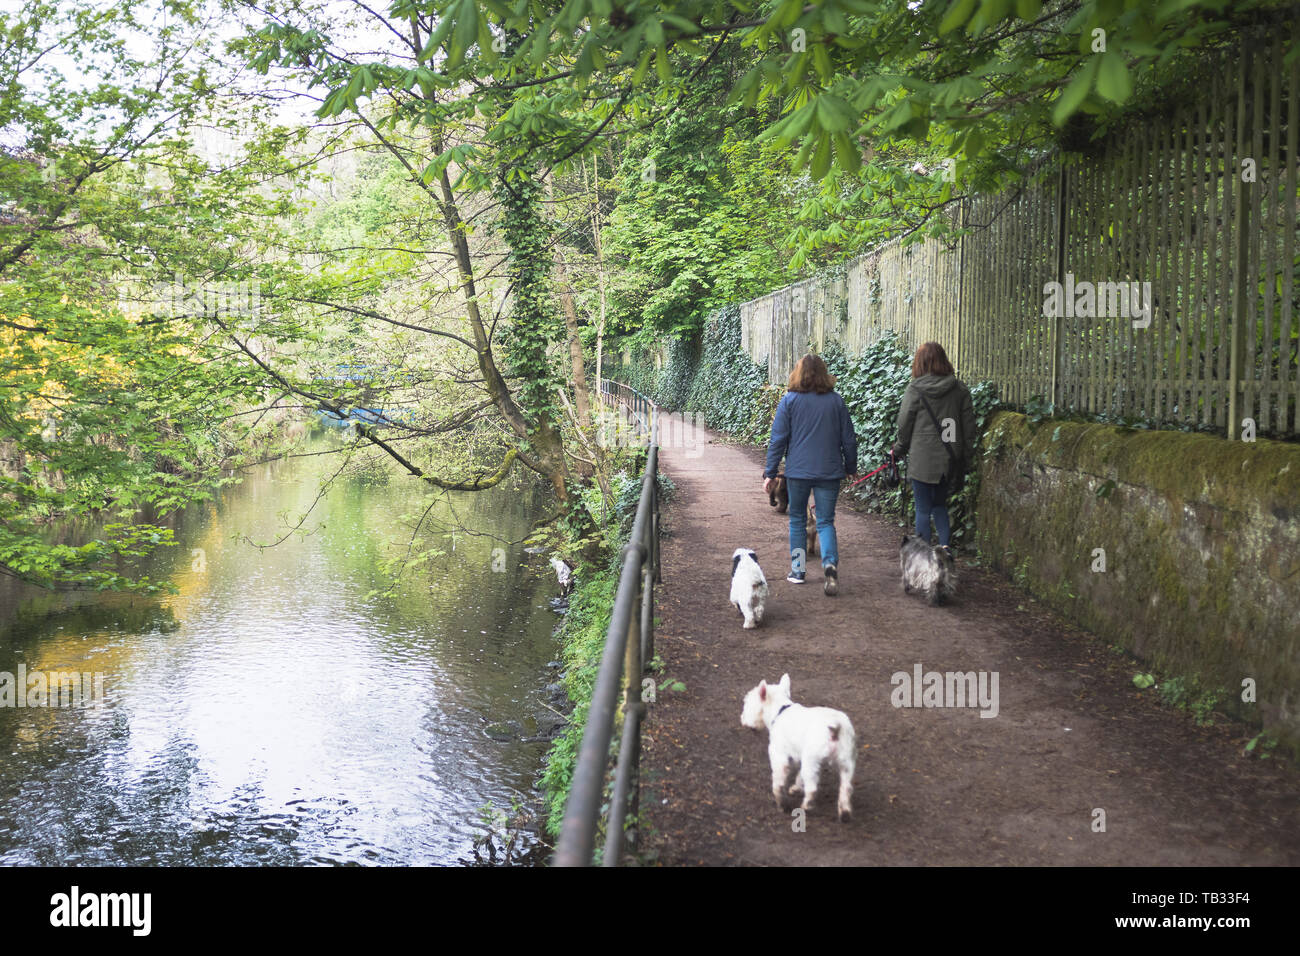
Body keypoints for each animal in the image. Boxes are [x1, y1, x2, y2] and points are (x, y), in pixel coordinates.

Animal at [743, 671, 852, 822]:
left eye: (747, 703)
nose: (742, 719)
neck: (780, 711)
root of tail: (836, 727)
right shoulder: (798, 755)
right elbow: (799, 774)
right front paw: (796, 788)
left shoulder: (779, 756)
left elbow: (778, 783)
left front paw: (781, 803)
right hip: (845, 763)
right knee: (846, 788)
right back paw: (845, 813)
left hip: (812, 760)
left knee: (812, 788)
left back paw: (806, 806)